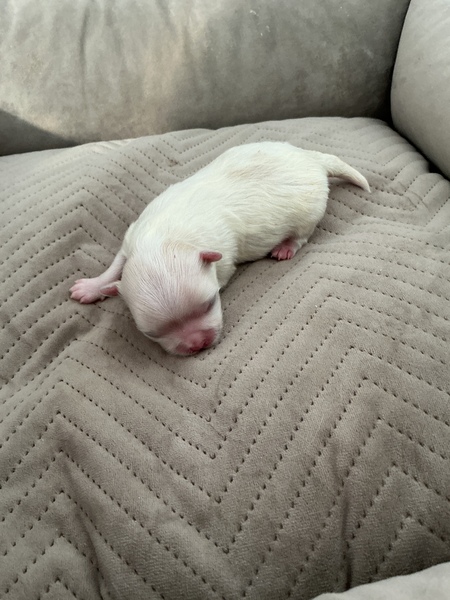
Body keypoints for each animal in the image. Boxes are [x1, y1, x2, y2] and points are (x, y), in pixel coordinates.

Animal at [70, 142, 370, 355]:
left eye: (210, 303)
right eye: (151, 333)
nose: (197, 344)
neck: (166, 240)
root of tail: (312, 158)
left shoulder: (223, 261)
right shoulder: (132, 239)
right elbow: (114, 268)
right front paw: (92, 287)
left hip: (310, 211)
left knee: (303, 235)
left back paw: (285, 247)